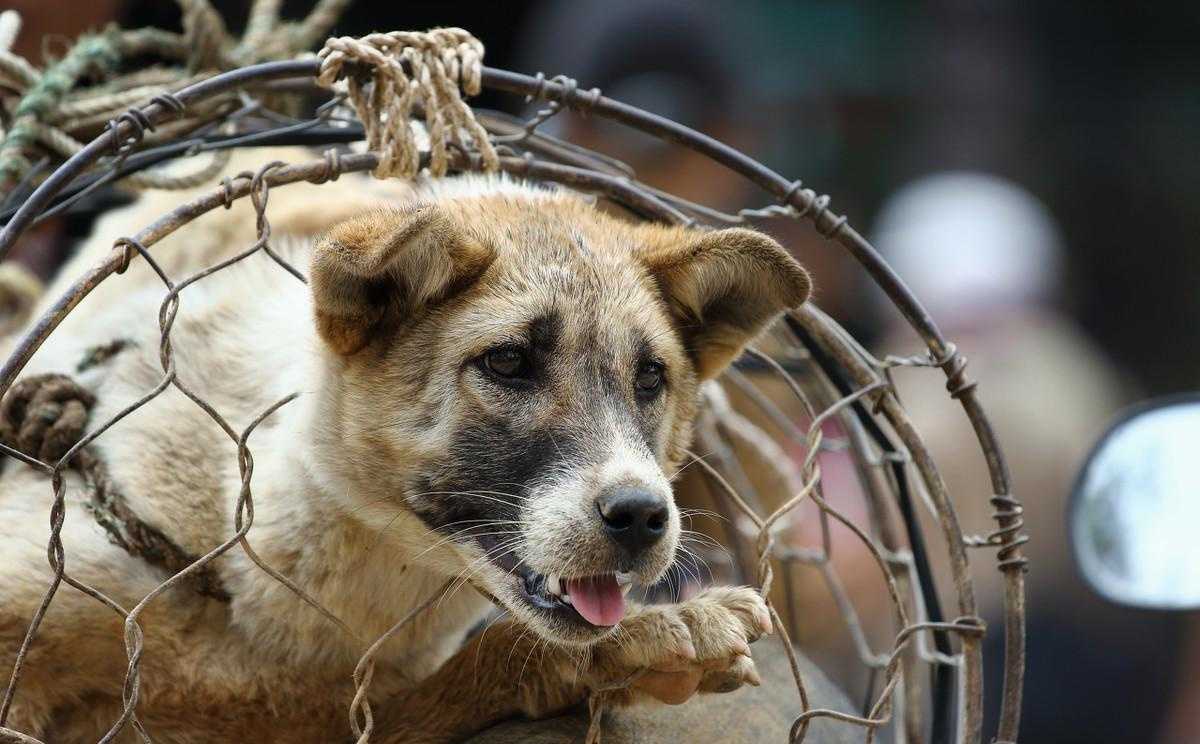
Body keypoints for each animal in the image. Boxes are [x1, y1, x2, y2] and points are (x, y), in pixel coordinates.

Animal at [0, 152, 816, 744]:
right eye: (509, 362)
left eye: (651, 378)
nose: (644, 517)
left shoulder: (348, 715)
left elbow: (484, 663)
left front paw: (634, 643)